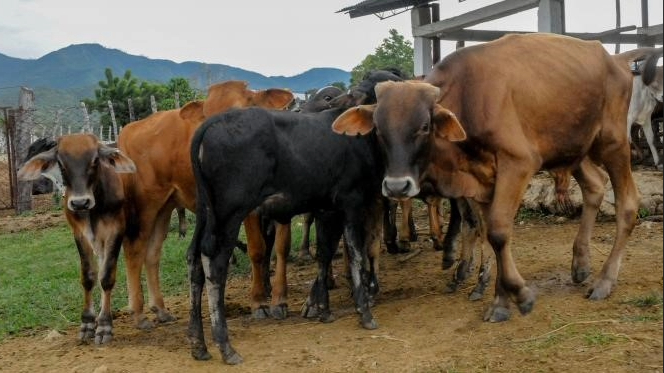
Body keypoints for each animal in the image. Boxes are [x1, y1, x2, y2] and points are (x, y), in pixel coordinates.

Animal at [17, 134, 136, 342]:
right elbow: (89, 276)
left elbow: (107, 276)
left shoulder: (116, 231)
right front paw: (88, 323)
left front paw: (104, 325)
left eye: (95, 160)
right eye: (61, 163)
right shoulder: (80, 234)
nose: (80, 203)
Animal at [117, 80, 296, 326]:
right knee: (134, 250)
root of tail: (130, 128)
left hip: (165, 206)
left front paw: (280, 300)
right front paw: (259, 302)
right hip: (145, 204)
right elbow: (257, 249)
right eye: (206, 117)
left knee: (152, 253)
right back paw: (138, 314)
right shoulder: (247, 210)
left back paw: (160, 309)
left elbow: (282, 248)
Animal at [334, 32, 656, 322]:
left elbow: (499, 232)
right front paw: (501, 302)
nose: (397, 186)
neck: (468, 98)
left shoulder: (518, 163)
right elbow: (490, 234)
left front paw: (520, 295)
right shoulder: (482, 182)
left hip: (613, 142)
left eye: (424, 126)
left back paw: (604, 281)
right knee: (594, 186)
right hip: (574, 149)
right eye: (378, 129)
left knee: (628, 204)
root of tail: (615, 59)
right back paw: (580, 264)